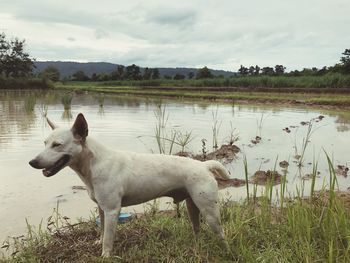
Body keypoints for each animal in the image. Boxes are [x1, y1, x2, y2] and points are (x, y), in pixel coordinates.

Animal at [30, 113, 231, 258]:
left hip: (209, 211)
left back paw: (227, 251)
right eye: (45, 143)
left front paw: (105, 255)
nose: (32, 162)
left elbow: (108, 238)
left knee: (221, 233)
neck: (94, 162)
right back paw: (197, 245)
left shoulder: (112, 210)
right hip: (193, 206)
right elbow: (102, 230)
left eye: (57, 145)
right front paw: (99, 242)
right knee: (197, 228)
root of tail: (204, 165)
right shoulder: (102, 209)